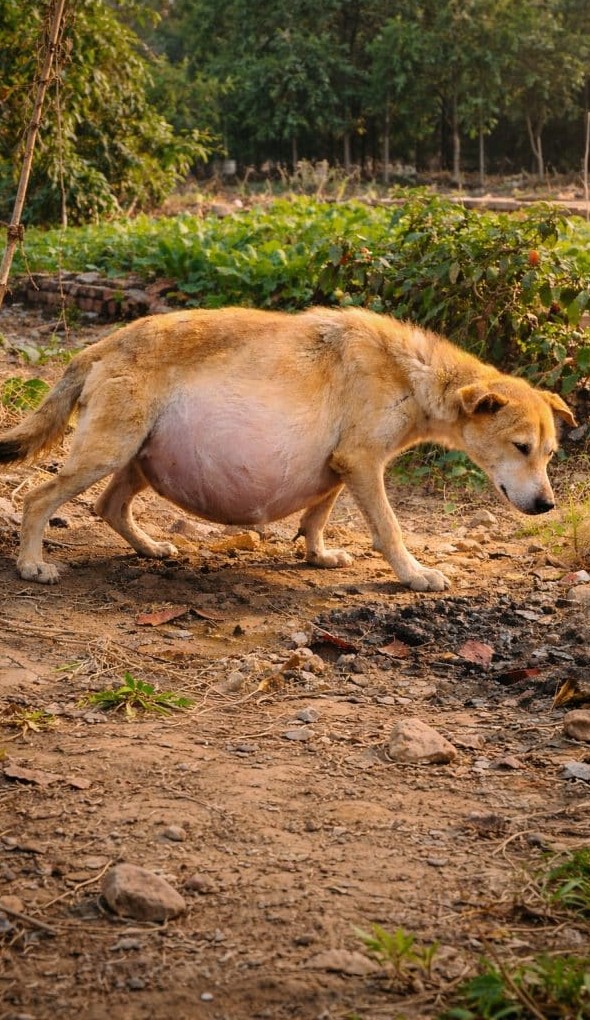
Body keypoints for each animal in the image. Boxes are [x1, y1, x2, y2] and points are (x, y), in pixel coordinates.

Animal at [0, 306, 575, 591]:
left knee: (109, 505)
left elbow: (317, 518)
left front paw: (318, 557)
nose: (548, 505)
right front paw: (414, 575)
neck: (415, 374)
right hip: (109, 451)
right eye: (521, 447)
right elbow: (389, 530)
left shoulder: (340, 467)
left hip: (141, 456)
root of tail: (100, 345)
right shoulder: (362, 463)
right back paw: (31, 565)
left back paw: (150, 548)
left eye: (549, 454)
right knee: (38, 498)